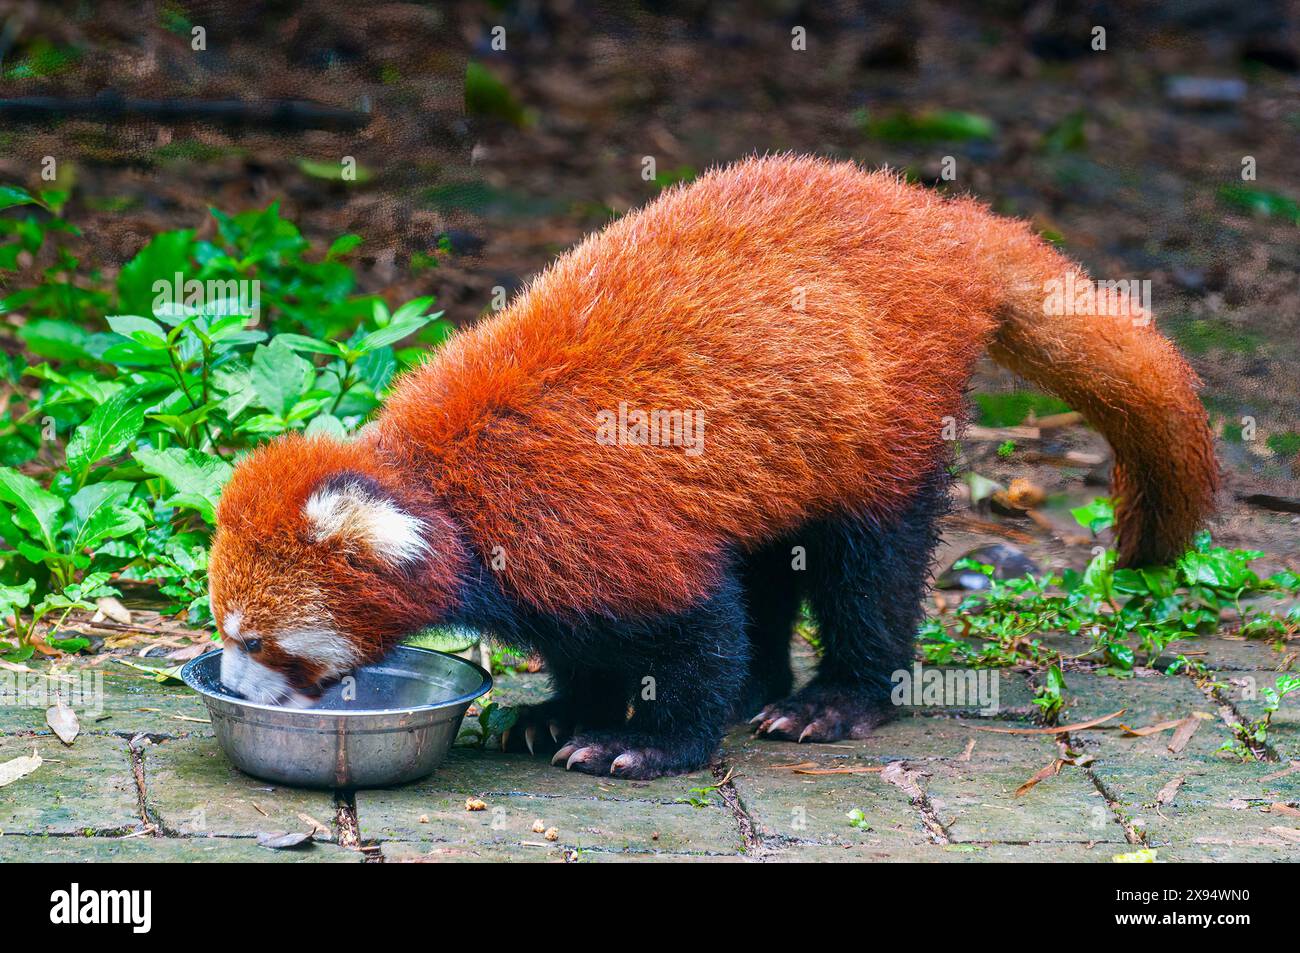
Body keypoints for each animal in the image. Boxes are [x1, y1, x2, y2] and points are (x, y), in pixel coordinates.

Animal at [210, 156, 1216, 774]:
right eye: (226, 631)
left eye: (253, 640)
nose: (231, 686)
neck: (444, 491)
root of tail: (938, 218)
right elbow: (594, 638)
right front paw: (559, 710)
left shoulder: (592, 521)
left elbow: (695, 632)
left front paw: (645, 743)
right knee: (771, 559)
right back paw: (764, 688)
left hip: (884, 424)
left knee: (870, 569)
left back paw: (836, 701)